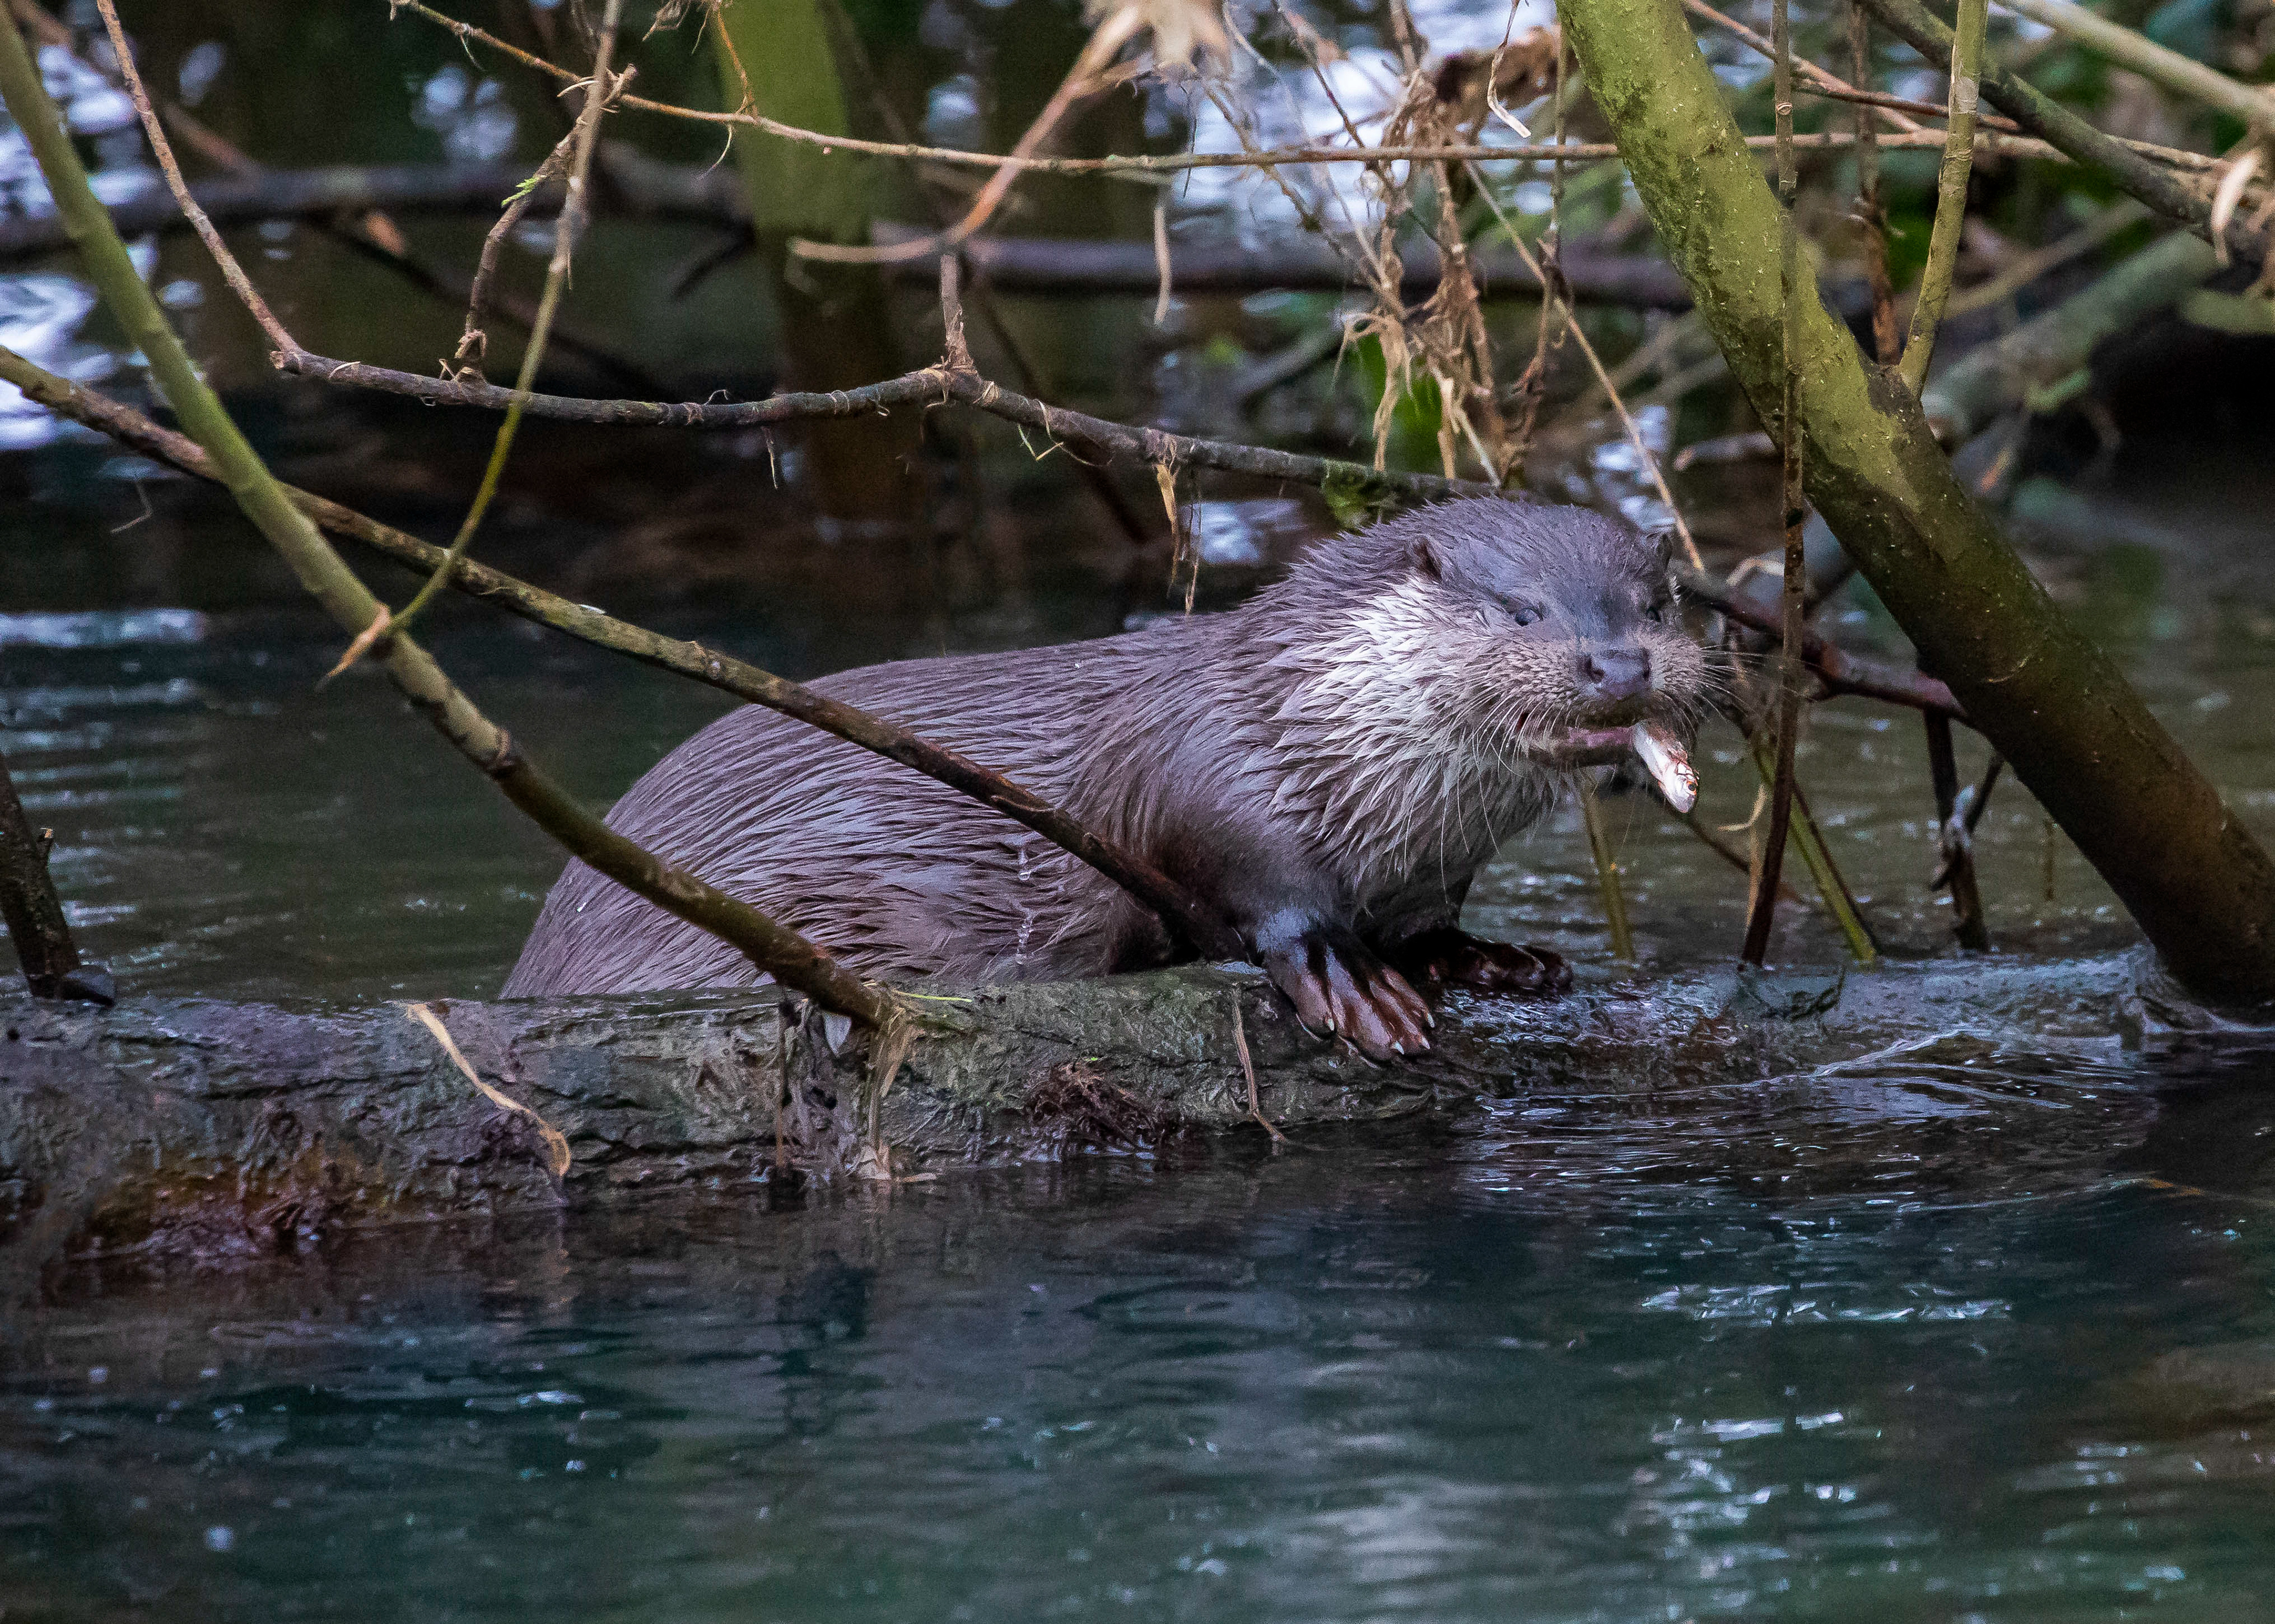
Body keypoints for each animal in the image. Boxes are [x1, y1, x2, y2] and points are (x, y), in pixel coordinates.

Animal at [504, 500, 1710, 1058]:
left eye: (1657, 603)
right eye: (1524, 612)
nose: (1619, 664)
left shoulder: (1429, 868)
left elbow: (1432, 924)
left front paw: (1494, 957)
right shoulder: (1209, 760)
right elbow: (1247, 881)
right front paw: (1348, 977)